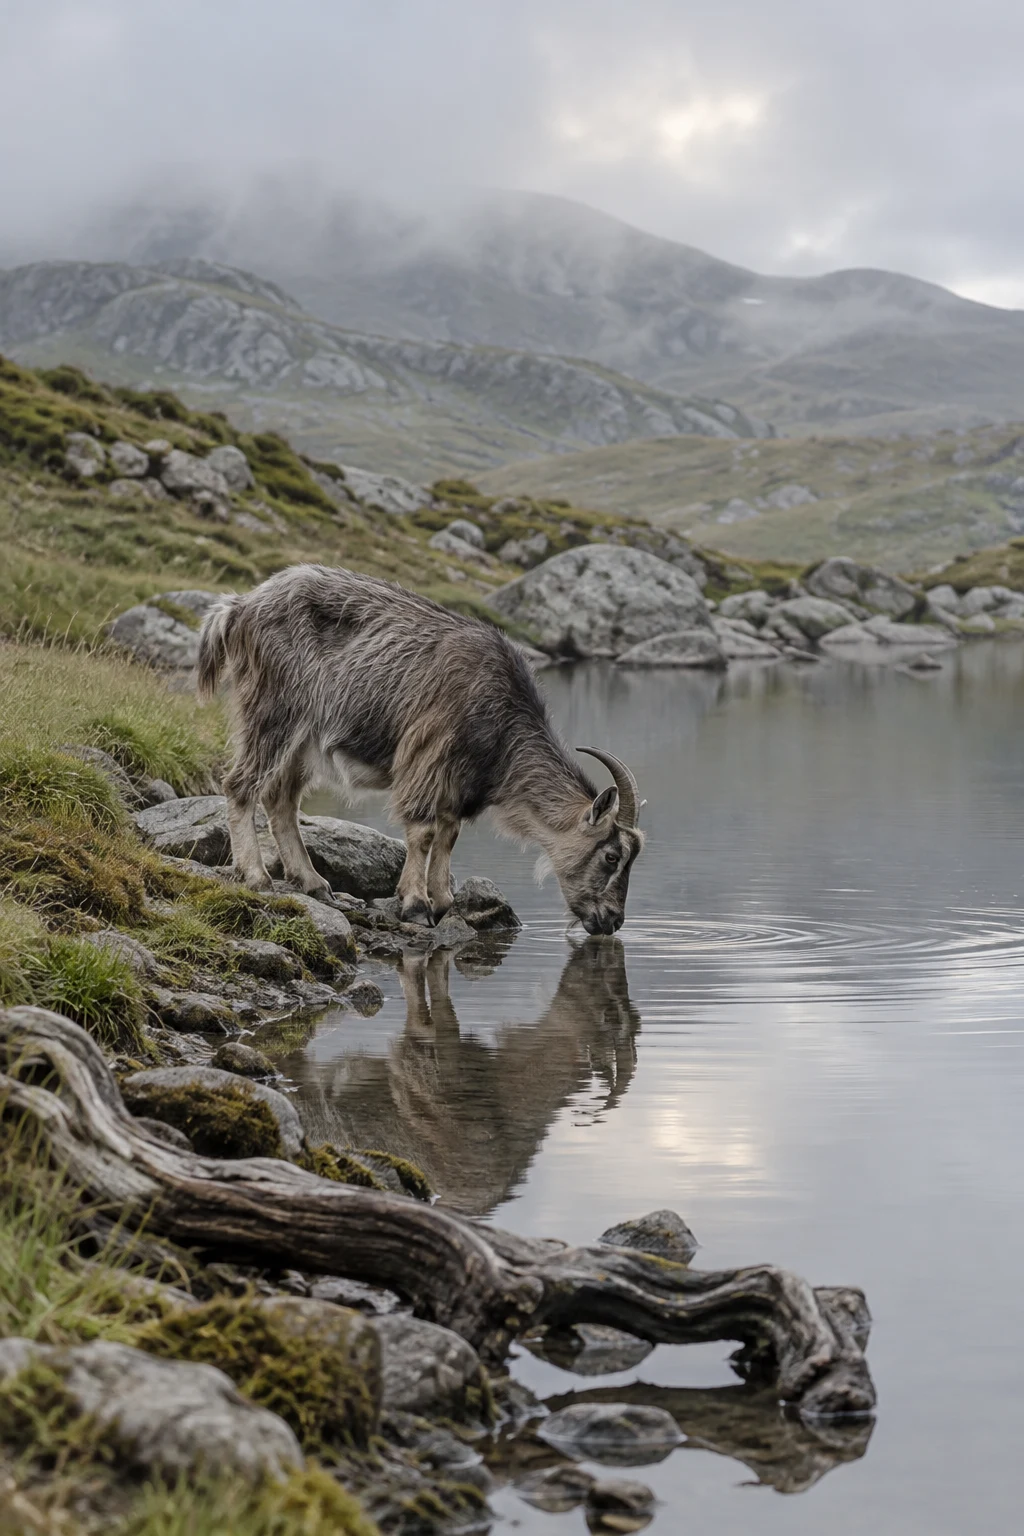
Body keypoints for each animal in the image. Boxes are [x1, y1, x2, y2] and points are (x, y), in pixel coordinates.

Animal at [197, 564, 644, 933]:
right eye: (611, 856)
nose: (613, 922)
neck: (501, 715)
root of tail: (238, 607)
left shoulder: (458, 782)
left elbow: (449, 833)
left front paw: (443, 900)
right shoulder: (428, 758)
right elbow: (425, 831)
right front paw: (415, 904)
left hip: (301, 741)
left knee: (281, 799)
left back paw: (313, 882)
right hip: (274, 713)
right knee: (240, 785)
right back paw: (257, 876)